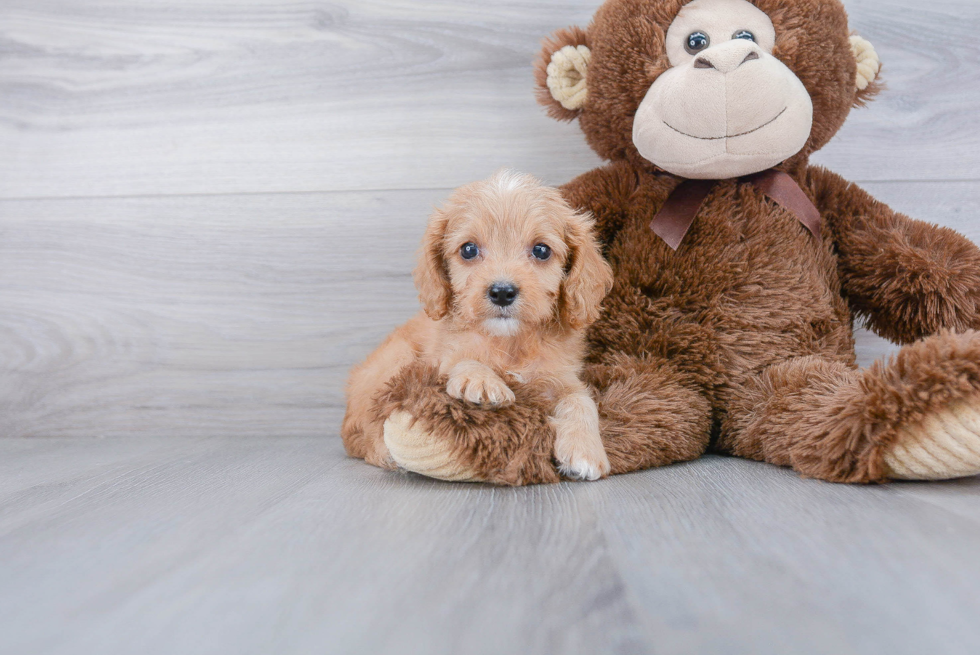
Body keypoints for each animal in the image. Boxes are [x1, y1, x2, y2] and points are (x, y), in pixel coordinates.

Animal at [342, 169, 612, 482]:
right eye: (469, 250)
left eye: (542, 250)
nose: (502, 292)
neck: (510, 342)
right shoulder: (442, 358)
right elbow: (461, 360)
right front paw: (480, 380)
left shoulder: (562, 377)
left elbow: (581, 400)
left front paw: (585, 451)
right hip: (393, 362)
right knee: (365, 426)